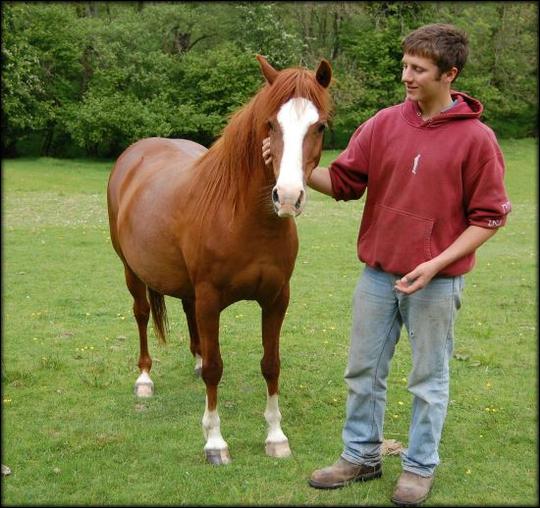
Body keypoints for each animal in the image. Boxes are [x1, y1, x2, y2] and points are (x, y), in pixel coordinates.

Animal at [106, 54, 332, 464]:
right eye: (270, 124)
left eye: (319, 126)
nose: (288, 197)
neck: (243, 218)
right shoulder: (211, 299)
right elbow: (216, 369)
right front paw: (215, 442)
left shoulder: (276, 299)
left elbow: (271, 365)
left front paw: (276, 436)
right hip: (131, 270)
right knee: (142, 315)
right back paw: (144, 378)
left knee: (187, 314)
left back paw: (193, 360)